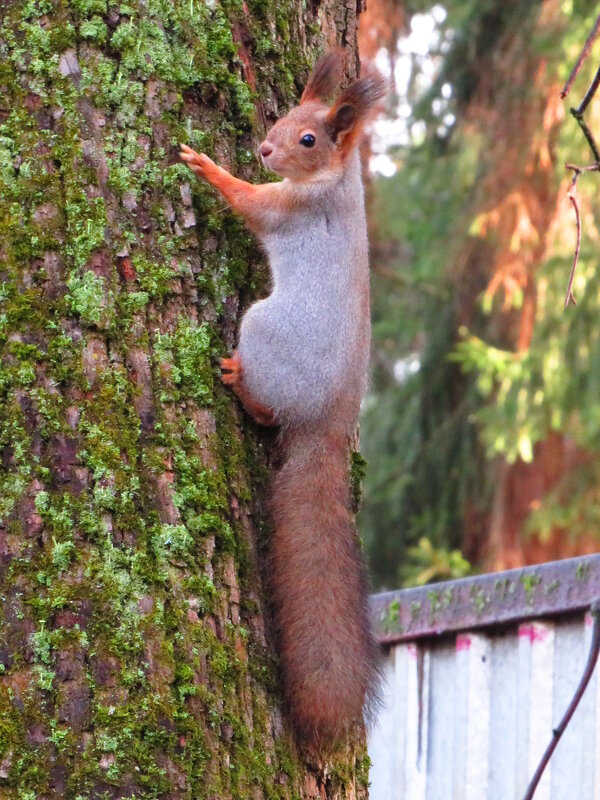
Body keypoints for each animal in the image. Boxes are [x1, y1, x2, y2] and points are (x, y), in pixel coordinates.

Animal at [182, 53, 390, 748]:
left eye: (309, 139)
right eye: (282, 117)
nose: (265, 149)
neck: (337, 179)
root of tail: (329, 420)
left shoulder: (287, 210)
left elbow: (247, 202)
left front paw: (204, 164)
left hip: (263, 330)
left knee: (267, 407)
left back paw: (239, 383)